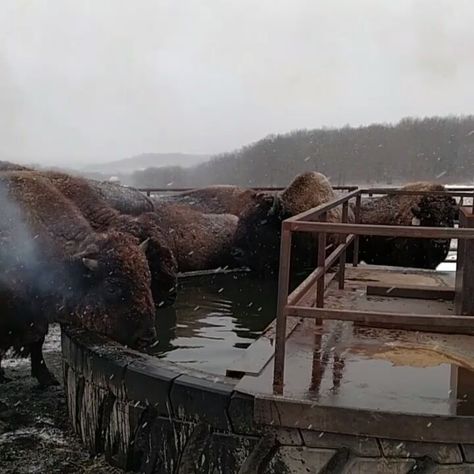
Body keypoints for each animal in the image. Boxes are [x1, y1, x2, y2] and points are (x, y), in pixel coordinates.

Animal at [0, 172, 156, 386]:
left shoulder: (38, 316)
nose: (147, 337)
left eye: (147, 278)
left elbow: (37, 343)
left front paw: (47, 378)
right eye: (112, 287)